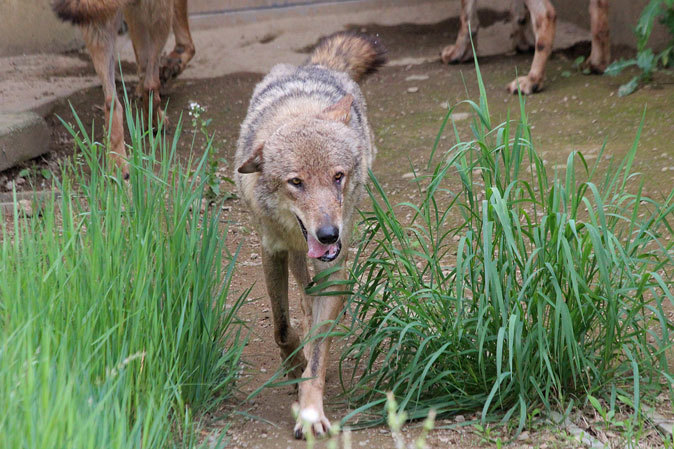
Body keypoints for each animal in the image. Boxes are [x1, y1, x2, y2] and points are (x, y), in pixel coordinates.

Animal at [51, 0, 194, 178]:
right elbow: (185, 42)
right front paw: (174, 63)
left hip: (99, 30)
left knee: (112, 102)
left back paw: (118, 163)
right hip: (158, 17)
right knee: (150, 84)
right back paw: (156, 123)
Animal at [235, 31, 384, 438]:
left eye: (338, 176)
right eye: (296, 182)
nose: (330, 234)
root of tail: (315, 65)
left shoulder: (335, 268)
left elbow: (318, 353)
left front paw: (311, 410)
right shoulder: (272, 250)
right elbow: (282, 327)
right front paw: (293, 363)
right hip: (295, 255)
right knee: (300, 291)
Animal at [440, 0, 608, 93]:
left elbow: (466, 14)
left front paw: (459, 52)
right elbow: (518, 12)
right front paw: (522, 42)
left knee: (546, 15)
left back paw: (532, 80)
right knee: (599, 8)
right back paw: (597, 63)